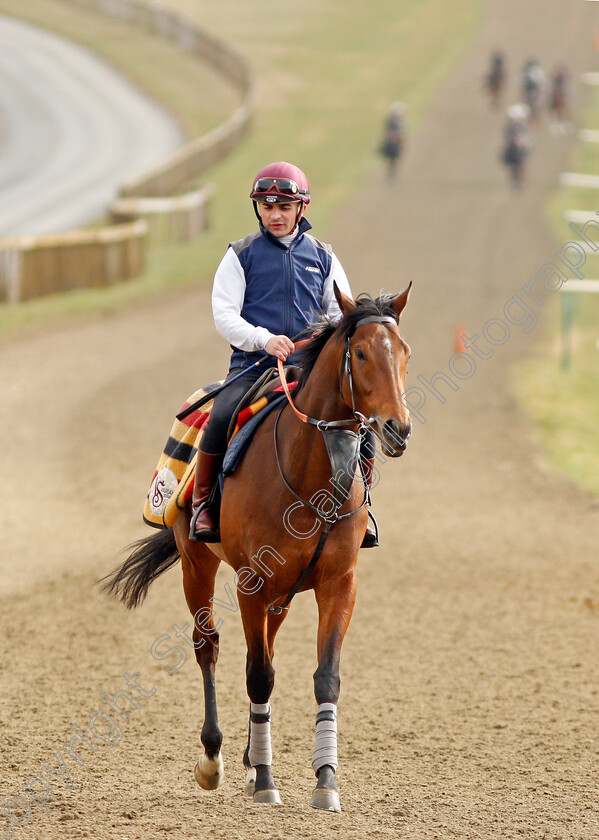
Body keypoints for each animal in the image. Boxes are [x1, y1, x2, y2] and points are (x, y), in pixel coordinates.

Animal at [102, 284, 412, 812]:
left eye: (405, 353)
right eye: (362, 353)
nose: (398, 428)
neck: (310, 478)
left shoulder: (339, 583)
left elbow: (324, 677)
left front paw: (324, 781)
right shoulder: (252, 581)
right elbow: (258, 674)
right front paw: (266, 779)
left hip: (280, 594)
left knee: (264, 644)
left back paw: (249, 759)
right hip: (197, 566)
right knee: (209, 645)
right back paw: (215, 757)